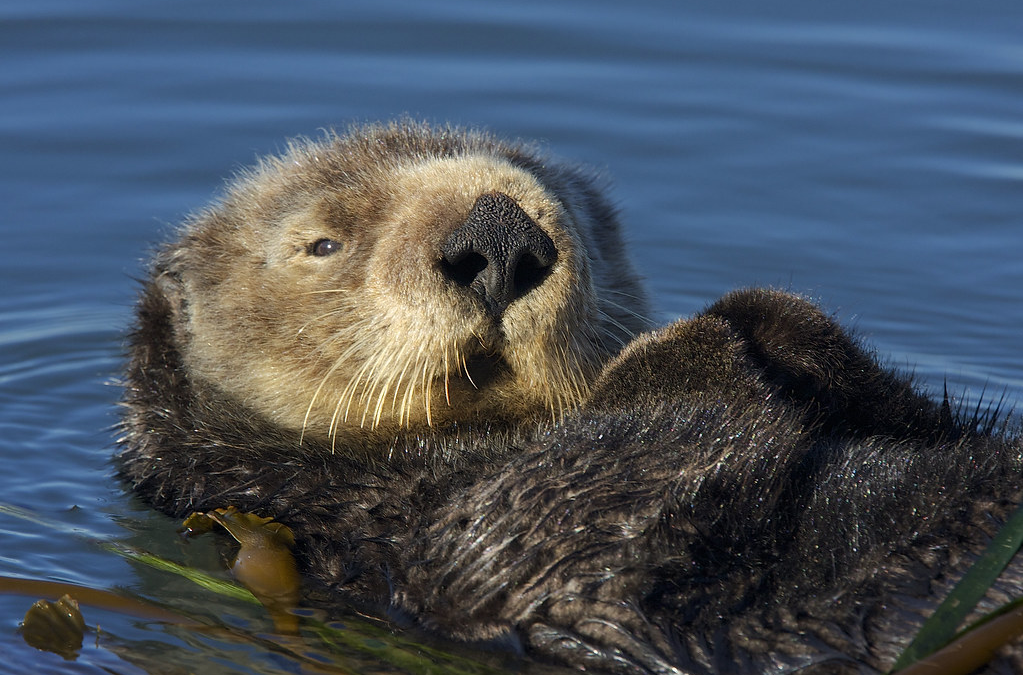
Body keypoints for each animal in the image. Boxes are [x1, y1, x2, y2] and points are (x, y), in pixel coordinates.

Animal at [121, 122, 1023, 675]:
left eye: (579, 216)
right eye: (322, 242)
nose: (498, 233)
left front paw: (772, 317)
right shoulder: (406, 541)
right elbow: (562, 517)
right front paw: (688, 340)